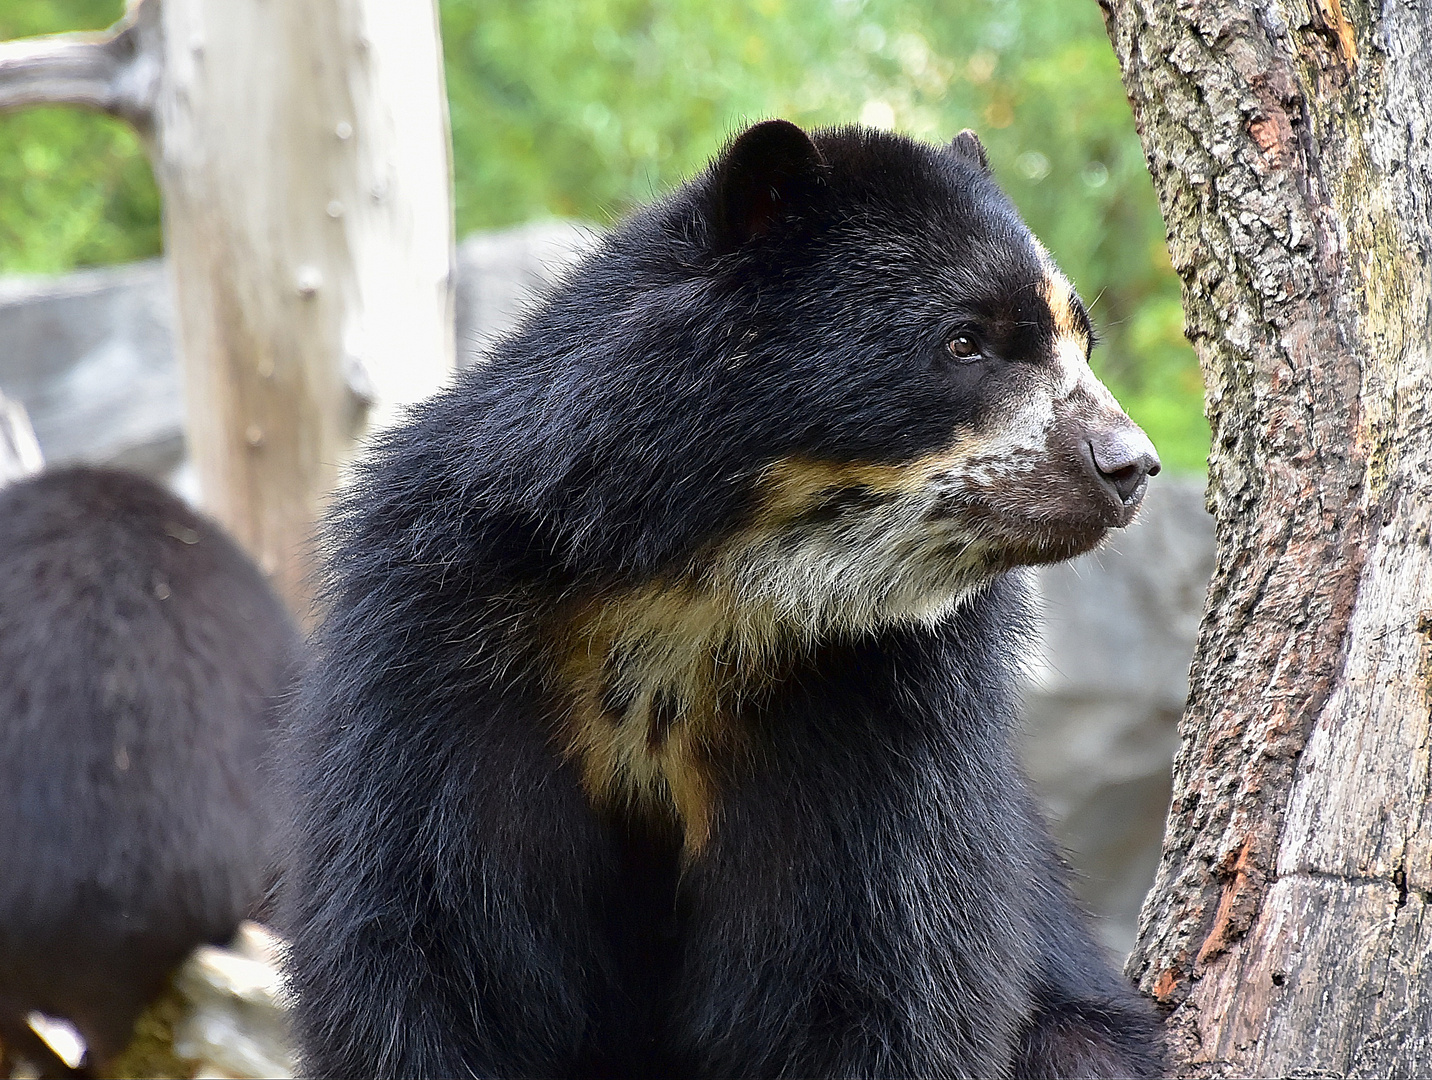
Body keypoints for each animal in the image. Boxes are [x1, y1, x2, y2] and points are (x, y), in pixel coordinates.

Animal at [284, 121, 1168, 1071]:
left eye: (1083, 342)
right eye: (966, 340)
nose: (1129, 467)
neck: (712, 591)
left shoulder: (887, 712)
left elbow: (878, 965)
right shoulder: (439, 649)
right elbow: (435, 944)